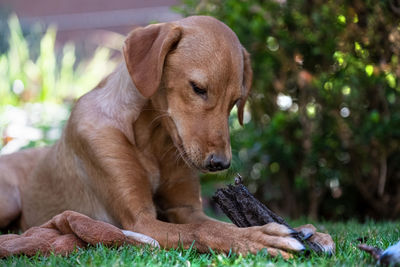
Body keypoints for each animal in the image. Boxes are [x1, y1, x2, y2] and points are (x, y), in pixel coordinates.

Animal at [0, 15, 334, 258]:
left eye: (236, 101)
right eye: (198, 88)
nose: (220, 164)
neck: (153, 139)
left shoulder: (187, 209)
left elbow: (215, 225)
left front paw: (309, 231)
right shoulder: (141, 219)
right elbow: (205, 232)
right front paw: (261, 238)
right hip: (9, 199)